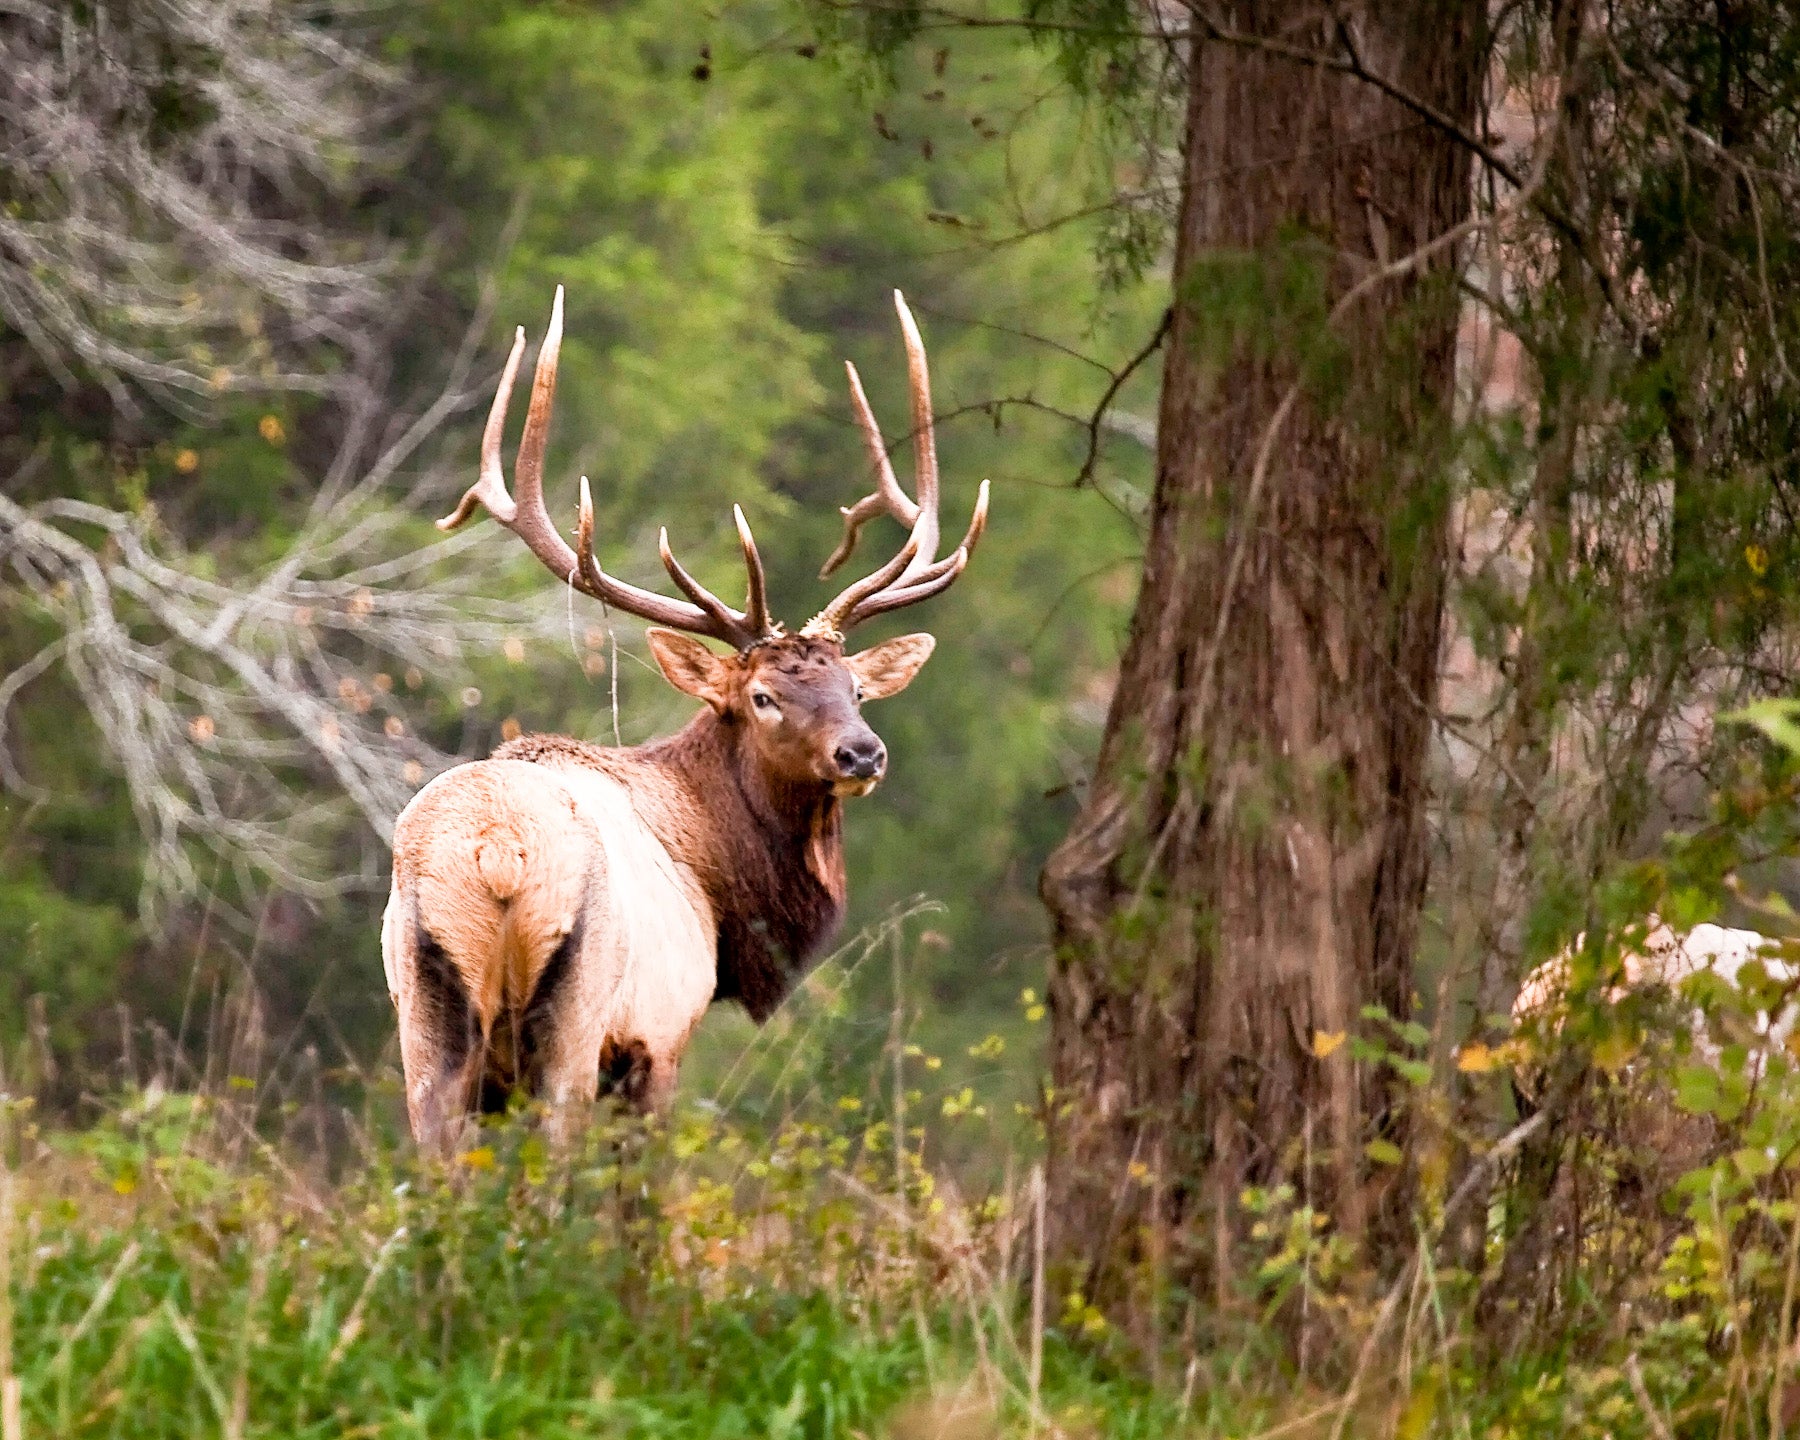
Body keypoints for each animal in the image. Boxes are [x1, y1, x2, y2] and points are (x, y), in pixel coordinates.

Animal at [381, 287, 988, 1151]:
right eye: (762, 696)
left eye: (857, 689)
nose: (862, 754)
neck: (716, 881)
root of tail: (497, 852)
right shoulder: (659, 1032)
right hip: (571, 1015)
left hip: (426, 1013)